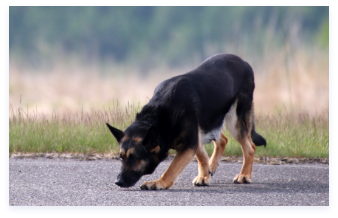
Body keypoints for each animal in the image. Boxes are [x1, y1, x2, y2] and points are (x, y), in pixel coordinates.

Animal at [107, 53, 266, 190]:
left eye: (134, 158)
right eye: (120, 158)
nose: (118, 182)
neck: (160, 117)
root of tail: (243, 61)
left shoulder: (190, 143)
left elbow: (172, 168)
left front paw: (159, 183)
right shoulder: (194, 138)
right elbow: (201, 155)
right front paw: (204, 175)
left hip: (235, 121)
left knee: (250, 147)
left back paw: (244, 175)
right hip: (209, 123)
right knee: (223, 140)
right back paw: (212, 166)